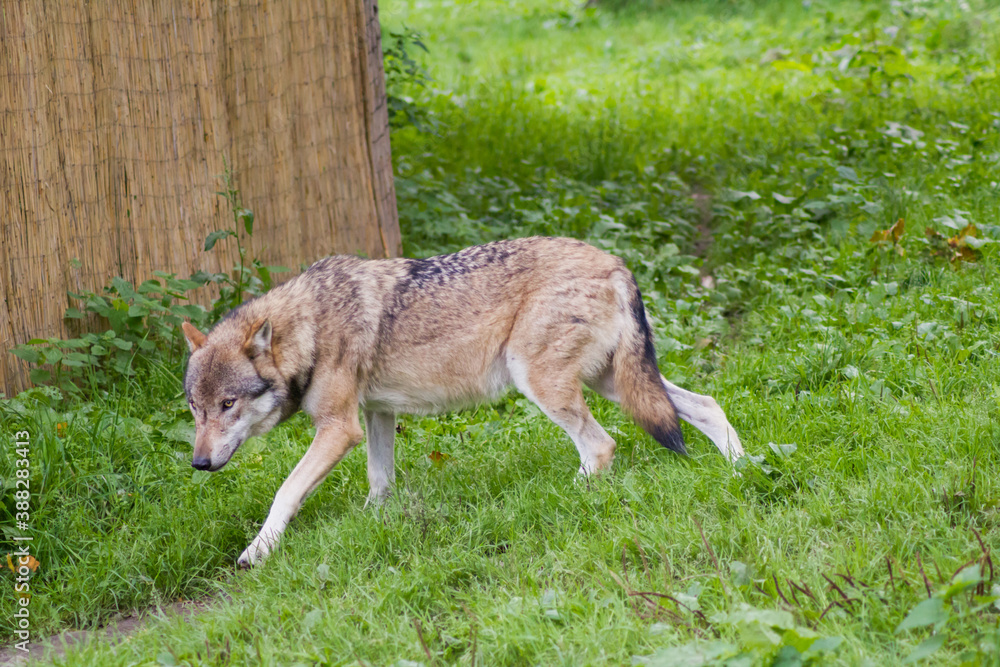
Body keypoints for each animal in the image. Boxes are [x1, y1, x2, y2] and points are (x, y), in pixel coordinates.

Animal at [181, 237, 744, 567]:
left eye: (228, 404)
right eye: (195, 408)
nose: (199, 464)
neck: (309, 328)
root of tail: (615, 262)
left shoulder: (340, 428)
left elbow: (286, 491)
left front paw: (256, 552)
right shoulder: (377, 414)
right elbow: (379, 482)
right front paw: (373, 525)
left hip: (541, 382)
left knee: (601, 446)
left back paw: (559, 498)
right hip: (614, 383)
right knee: (706, 404)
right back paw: (744, 468)